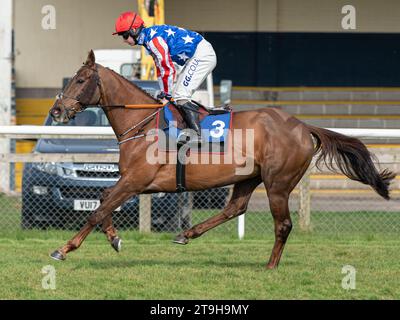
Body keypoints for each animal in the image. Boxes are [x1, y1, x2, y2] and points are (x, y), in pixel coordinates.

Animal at [49, 50, 394, 270]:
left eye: (80, 80)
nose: (57, 110)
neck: (143, 124)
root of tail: (301, 125)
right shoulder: (133, 182)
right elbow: (103, 199)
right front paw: (115, 238)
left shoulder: (137, 180)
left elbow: (97, 210)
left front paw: (63, 249)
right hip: (249, 177)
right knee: (235, 208)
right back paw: (187, 234)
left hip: (278, 183)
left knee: (282, 224)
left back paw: (270, 265)